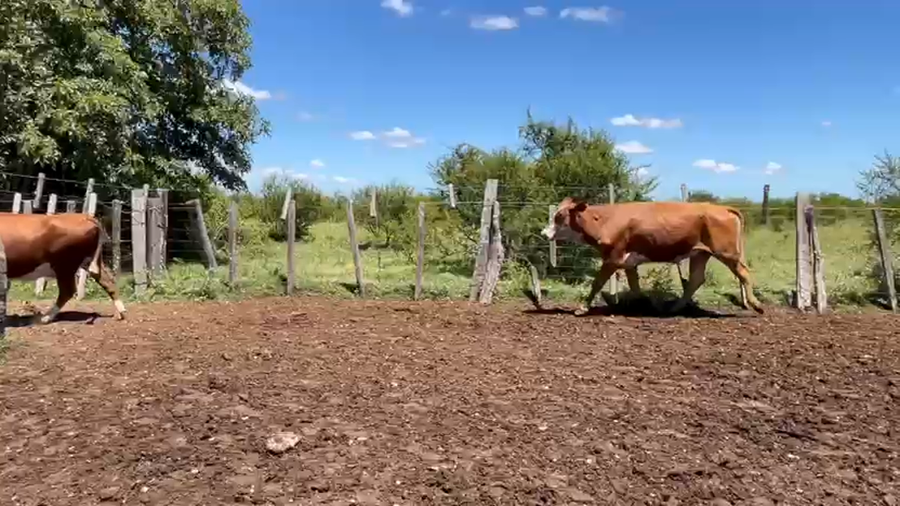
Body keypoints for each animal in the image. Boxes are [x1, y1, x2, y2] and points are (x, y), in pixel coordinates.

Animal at [542, 197, 764, 316]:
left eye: (559, 216)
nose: (544, 233)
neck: (604, 220)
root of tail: (723, 207)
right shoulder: (628, 262)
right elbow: (635, 287)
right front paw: (648, 304)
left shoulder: (612, 258)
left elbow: (597, 283)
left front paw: (581, 308)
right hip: (700, 254)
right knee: (696, 279)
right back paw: (674, 308)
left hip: (727, 253)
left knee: (744, 273)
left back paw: (756, 305)